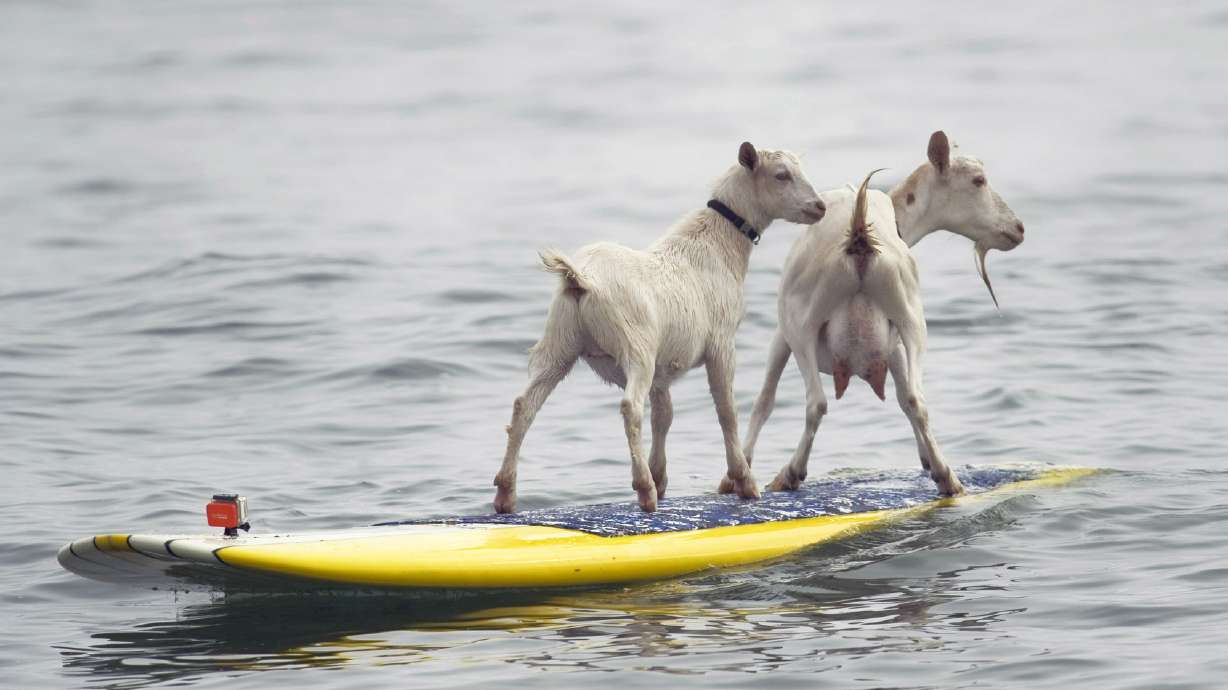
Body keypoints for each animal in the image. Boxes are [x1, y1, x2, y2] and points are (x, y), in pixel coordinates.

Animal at [494, 142, 825, 513]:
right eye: (781, 175)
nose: (820, 207)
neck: (717, 244)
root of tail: (580, 279)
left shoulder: (665, 365)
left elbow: (664, 416)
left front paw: (662, 476)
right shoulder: (721, 343)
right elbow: (726, 411)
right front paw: (743, 482)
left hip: (559, 341)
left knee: (525, 405)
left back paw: (505, 494)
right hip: (635, 345)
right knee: (630, 407)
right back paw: (644, 490)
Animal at [736, 131, 1024, 496]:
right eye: (978, 180)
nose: (1018, 228)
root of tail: (860, 234)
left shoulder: (782, 332)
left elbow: (764, 400)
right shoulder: (894, 343)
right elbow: (904, 397)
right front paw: (926, 459)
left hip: (802, 324)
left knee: (816, 403)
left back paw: (790, 473)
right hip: (910, 315)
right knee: (916, 398)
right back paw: (947, 477)